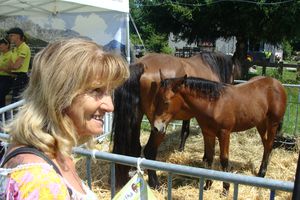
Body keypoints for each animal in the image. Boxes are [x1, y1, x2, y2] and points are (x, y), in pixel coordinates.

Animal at [111, 52, 240, 188]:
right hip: (159, 128)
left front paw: (181, 149)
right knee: (149, 150)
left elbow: (185, 130)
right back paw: (155, 183)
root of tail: (142, 65)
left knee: (134, 148)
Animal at [154, 74, 288, 193]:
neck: (214, 105)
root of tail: (277, 83)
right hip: (261, 123)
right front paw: (207, 185)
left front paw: (226, 188)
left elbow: (224, 159)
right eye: (156, 99)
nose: (156, 127)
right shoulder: (208, 133)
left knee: (269, 145)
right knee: (266, 145)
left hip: (273, 123)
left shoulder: (224, 133)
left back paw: (262, 173)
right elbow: (209, 158)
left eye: (166, 102)